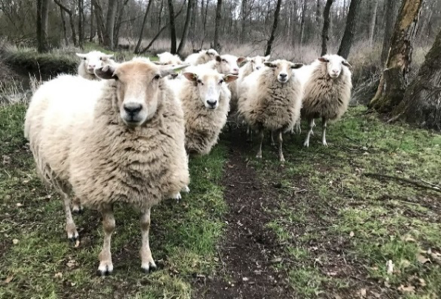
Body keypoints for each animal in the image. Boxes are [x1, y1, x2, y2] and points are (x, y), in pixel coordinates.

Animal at [24, 57, 189, 276]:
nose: (132, 108)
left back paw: (78, 203)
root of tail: (56, 79)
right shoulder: (103, 189)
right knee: (65, 198)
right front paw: (105, 262)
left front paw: (147, 259)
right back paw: (71, 228)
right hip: (52, 166)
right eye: (116, 77)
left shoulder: (148, 186)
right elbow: (109, 226)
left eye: (156, 77)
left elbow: (146, 224)